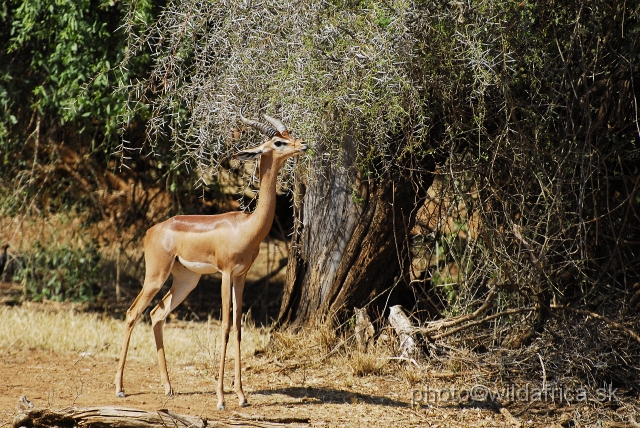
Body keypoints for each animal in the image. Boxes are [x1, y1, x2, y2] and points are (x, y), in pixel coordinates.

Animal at [115, 112, 308, 410]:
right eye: (278, 142)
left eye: (288, 136)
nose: (303, 145)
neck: (247, 227)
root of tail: (152, 230)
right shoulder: (226, 273)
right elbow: (226, 326)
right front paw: (221, 398)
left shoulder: (241, 276)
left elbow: (238, 326)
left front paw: (241, 396)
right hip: (156, 277)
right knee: (132, 313)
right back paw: (120, 388)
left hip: (186, 281)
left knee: (157, 314)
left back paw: (168, 387)